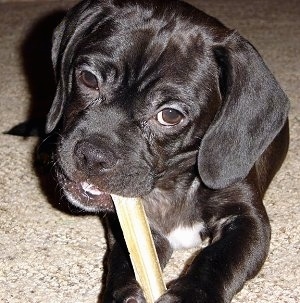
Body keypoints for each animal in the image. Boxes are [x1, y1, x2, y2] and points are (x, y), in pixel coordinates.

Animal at [47, 1, 290, 302]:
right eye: (88, 78)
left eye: (170, 115)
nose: (92, 156)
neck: (170, 186)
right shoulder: (136, 228)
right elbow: (126, 259)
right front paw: (123, 293)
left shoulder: (248, 219)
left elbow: (218, 258)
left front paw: (190, 295)